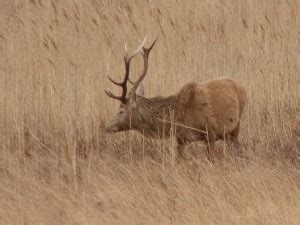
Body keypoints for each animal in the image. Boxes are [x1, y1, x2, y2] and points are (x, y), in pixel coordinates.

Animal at [104, 37, 247, 160]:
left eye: (121, 110)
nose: (107, 127)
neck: (180, 118)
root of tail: (243, 88)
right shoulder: (180, 138)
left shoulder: (210, 132)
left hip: (236, 124)